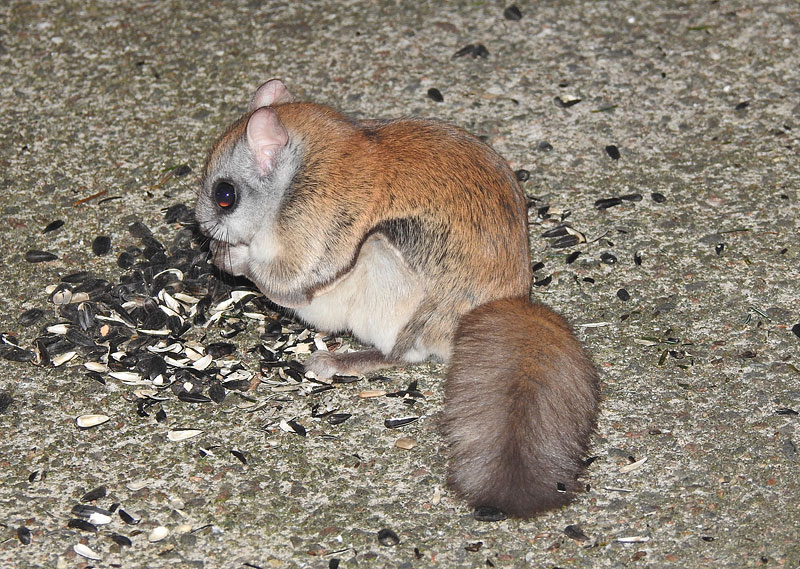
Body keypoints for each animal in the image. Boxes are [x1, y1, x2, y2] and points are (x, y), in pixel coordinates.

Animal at [195, 79, 599, 517]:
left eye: (225, 195)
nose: (200, 225)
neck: (300, 168)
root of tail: (501, 304)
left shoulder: (314, 224)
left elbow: (283, 281)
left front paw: (231, 257)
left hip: (384, 267)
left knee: (403, 354)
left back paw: (341, 361)